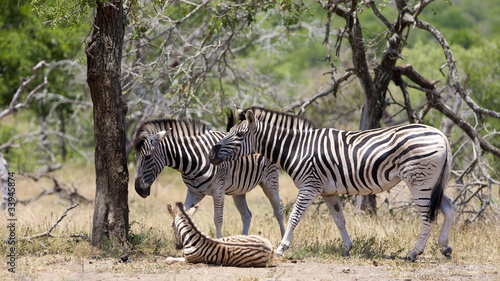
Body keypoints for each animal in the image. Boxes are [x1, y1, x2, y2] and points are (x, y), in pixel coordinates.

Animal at [209, 105, 458, 260]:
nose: (212, 154)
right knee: (449, 207)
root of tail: (440, 134)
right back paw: (445, 246)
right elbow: (339, 220)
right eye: (230, 132)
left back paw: (414, 253)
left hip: (418, 180)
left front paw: (281, 247)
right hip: (432, 181)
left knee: (428, 216)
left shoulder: (309, 186)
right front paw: (348, 248)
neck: (299, 147)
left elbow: (294, 216)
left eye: (239, 136)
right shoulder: (328, 191)